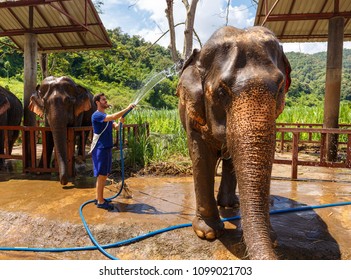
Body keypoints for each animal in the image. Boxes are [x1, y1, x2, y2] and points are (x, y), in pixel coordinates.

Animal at [177, 26, 292, 260]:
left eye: (279, 89)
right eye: (222, 91)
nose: (273, 245)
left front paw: (272, 238)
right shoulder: (193, 113)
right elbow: (201, 155)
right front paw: (208, 233)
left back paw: (230, 205)